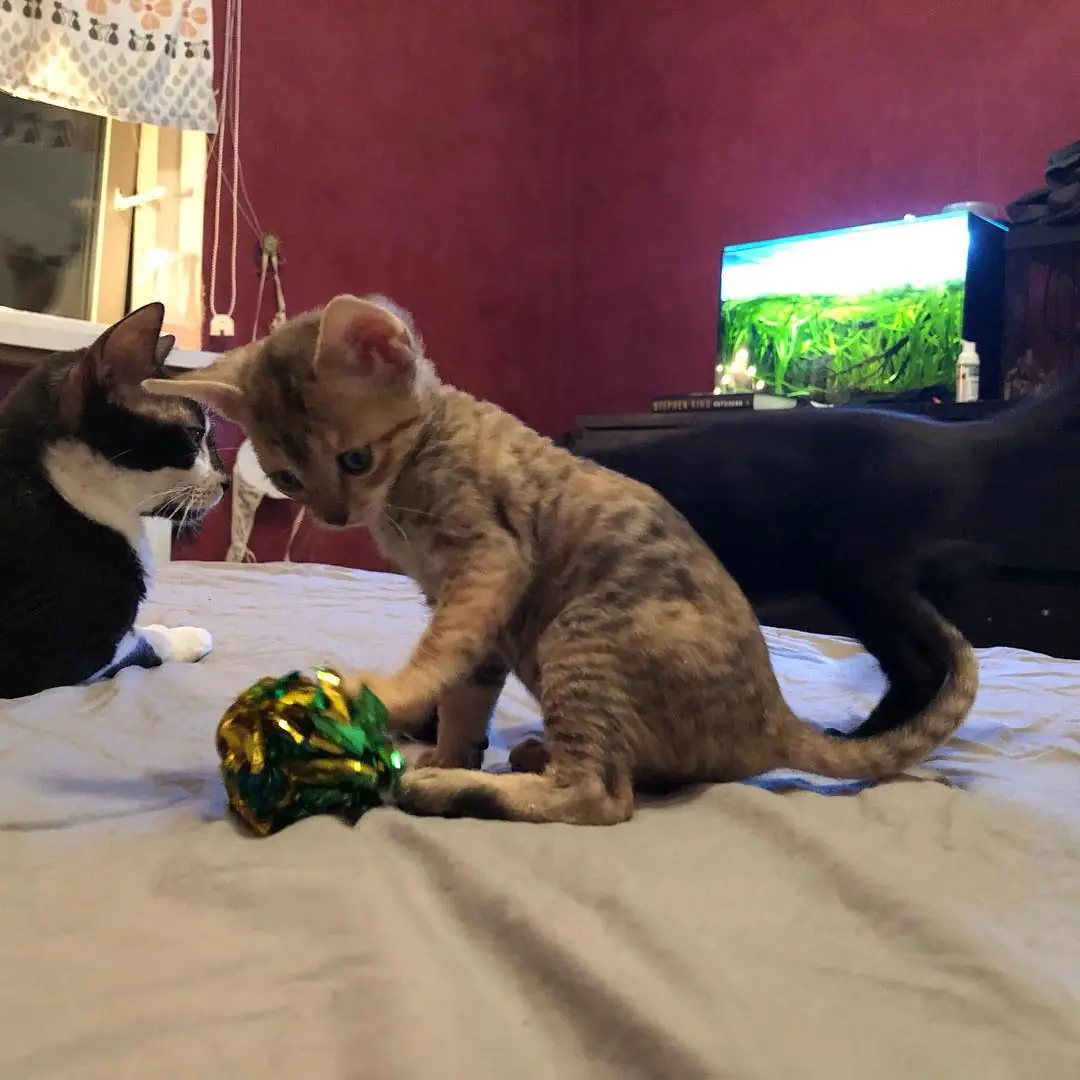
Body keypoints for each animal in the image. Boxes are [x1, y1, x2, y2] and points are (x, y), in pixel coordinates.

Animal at [144, 294, 977, 825]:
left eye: (355, 459)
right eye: (286, 477)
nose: (333, 514)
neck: (420, 464)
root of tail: (774, 719)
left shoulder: (488, 563)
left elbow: (439, 654)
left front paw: (395, 701)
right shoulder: (472, 610)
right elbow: (464, 693)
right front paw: (447, 744)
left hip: (582, 633)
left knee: (603, 799)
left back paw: (452, 791)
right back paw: (511, 758)